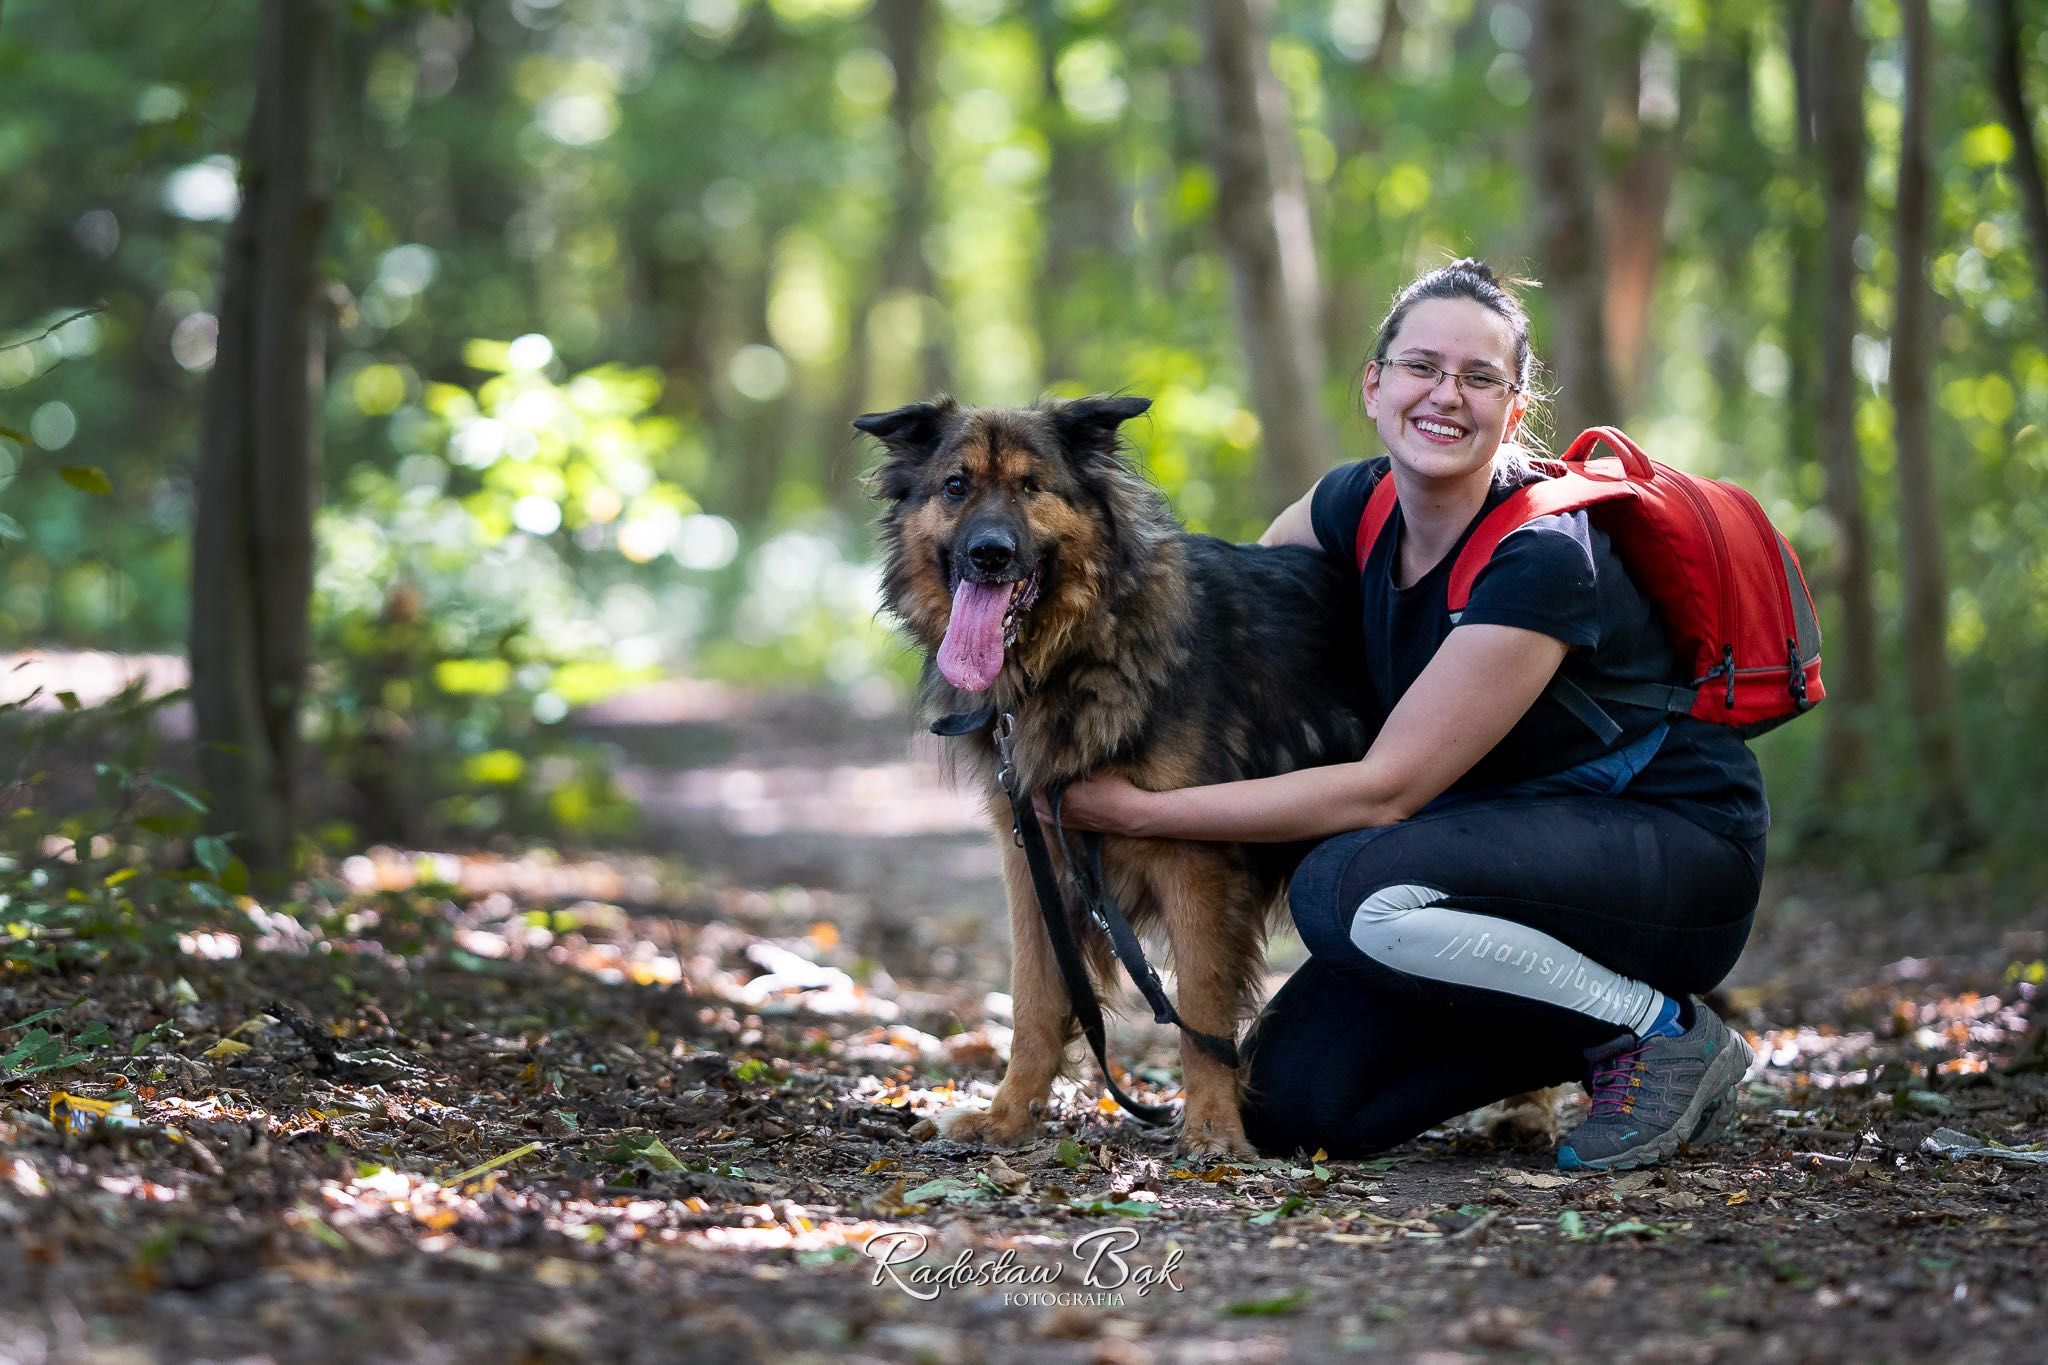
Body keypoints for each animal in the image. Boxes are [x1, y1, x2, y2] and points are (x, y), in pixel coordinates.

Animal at [851, 394, 1376, 1154]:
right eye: (955, 486)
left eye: (1032, 487)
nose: (989, 554)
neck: (1085, 648)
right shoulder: (1035, 859)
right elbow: (1035, 1000)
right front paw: (1008, 1116)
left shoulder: (1196, 864)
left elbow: (1202, 1014)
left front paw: (1214, 1129)